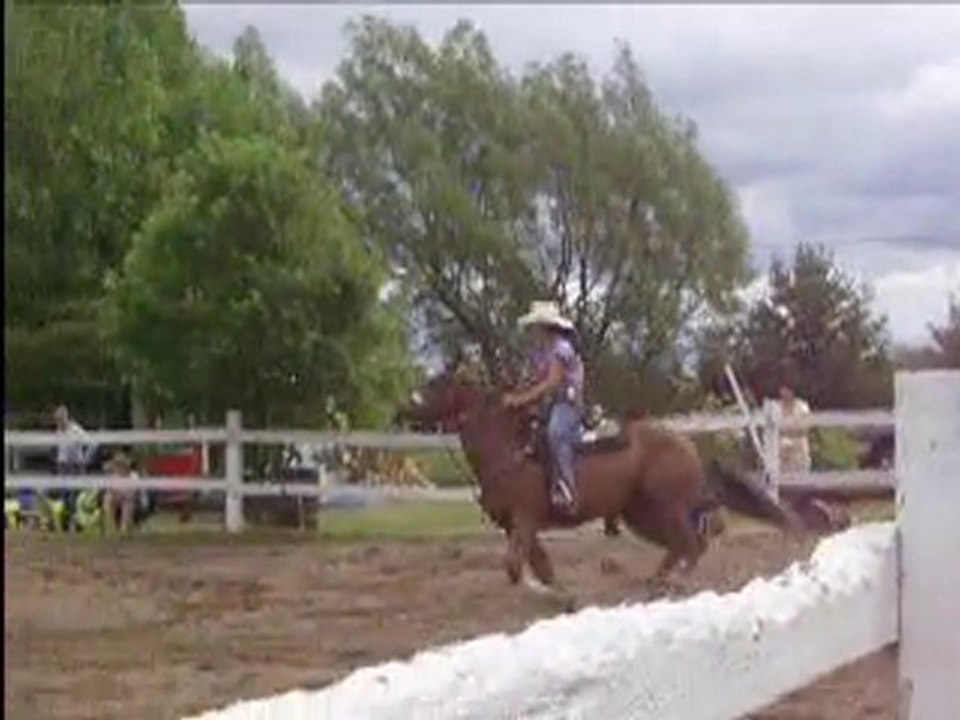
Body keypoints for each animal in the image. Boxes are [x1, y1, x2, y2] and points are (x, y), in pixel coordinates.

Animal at [400, 372, 797, 602]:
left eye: (436, 385)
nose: (405, 409)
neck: (508, 454)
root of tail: (687, 444)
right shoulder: (518, 527)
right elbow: (539, 564)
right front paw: (559, 592)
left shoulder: (524, 520)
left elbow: (514, 566)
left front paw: (546, 592)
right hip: (641, 514)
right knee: (686, 542)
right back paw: (658, 580)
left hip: (666, 509)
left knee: (692, 543)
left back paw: (673, 584)